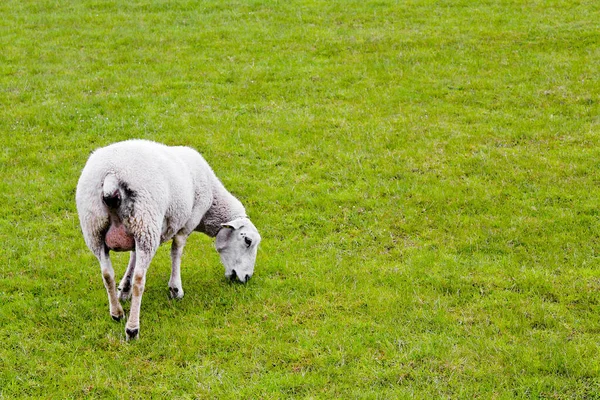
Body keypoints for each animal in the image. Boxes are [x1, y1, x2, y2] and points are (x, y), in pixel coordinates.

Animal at [74, 139, 260, 340]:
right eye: (247, 241)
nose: (247, 278)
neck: (211, 206)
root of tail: (111, 175)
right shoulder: (187, 223)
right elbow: (176, 251)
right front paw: (175, 288)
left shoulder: (134, 234)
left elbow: (132, 256)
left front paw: (124, 288)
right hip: (146, 222)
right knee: (140, 280)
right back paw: (132, 329)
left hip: (96, 228)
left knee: (107, 274)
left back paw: (116, 312)